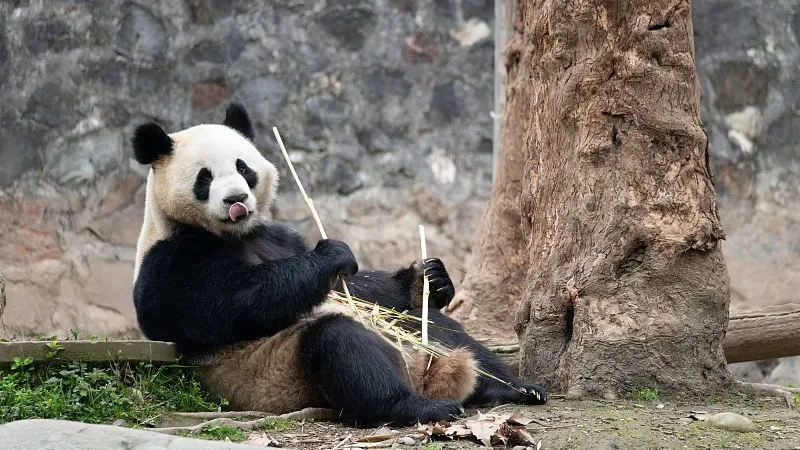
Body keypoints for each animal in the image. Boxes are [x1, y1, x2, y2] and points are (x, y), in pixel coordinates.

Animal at [130, 103, 548, 427]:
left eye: (243, 167)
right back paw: (419, 408)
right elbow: (232, 302)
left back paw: (511, 386)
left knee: (438, 327)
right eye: (205, 178)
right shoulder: (171, 258)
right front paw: (332, 253)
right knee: (341, 346)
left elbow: (356, 288)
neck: (237, 233)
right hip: (278, 371)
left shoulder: (276, 234)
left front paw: (427, 277)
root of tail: (420, 374)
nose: (237, 199)